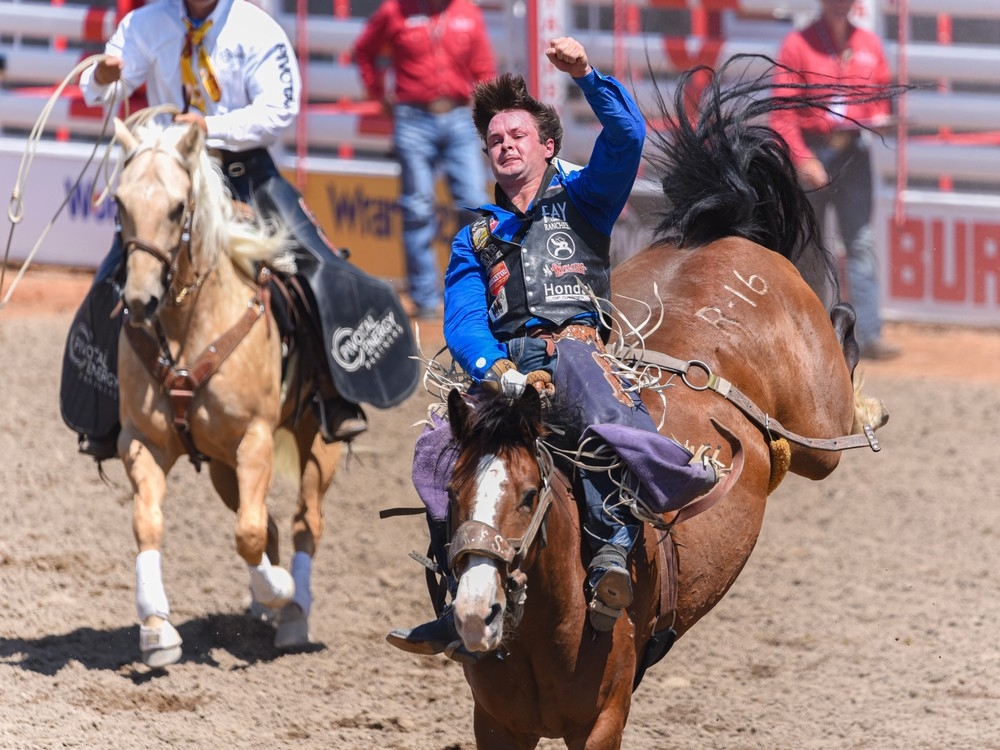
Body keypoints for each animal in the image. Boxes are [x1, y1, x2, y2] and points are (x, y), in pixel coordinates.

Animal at [112, 117, 342, 668]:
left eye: (178, 207)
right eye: (119, 203)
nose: (139, 300)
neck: (189, 329)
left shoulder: (254, 439)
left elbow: (249, 532)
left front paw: (279, 591)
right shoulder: (141, 442)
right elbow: (148, 524)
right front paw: (157, 629)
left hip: (320, 440)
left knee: (304, 522)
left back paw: (293, 612)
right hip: (220, 466)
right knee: (272, 523)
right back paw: (266, 608)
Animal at [434, 60, 888, 750]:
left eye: (531, 494)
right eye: (454, 491)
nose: (473, 611)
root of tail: (724, 230)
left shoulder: (602, 719)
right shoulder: (496, 723)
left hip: (818, 427)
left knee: (841, 339)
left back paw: (870, 402)